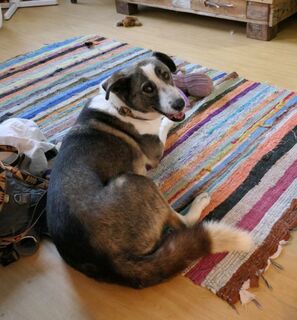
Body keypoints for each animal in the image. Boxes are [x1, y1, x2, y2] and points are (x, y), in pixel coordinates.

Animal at [46, 52, 252, 288]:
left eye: (166, 74)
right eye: (148, 89)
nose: (180, 103)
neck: (122, 107)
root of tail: (110, 262)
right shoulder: (155, 150)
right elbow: (164, 124)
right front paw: (176, 117)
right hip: (136, 182)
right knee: (182, 223)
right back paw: (199, 201)